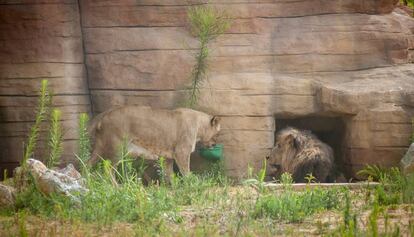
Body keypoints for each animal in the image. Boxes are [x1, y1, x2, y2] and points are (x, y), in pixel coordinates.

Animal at [87, 105, 222, 180]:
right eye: (217, 134)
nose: (215, 145)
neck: (199, 126)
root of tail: (104, 115)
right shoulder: (181, 152)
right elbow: (186, 172)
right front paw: (192, 185)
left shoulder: (168, 158)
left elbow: (169, 175)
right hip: (117, 149)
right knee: (107, 169)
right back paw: (117, 188)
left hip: (99, 148)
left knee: (87, 164)